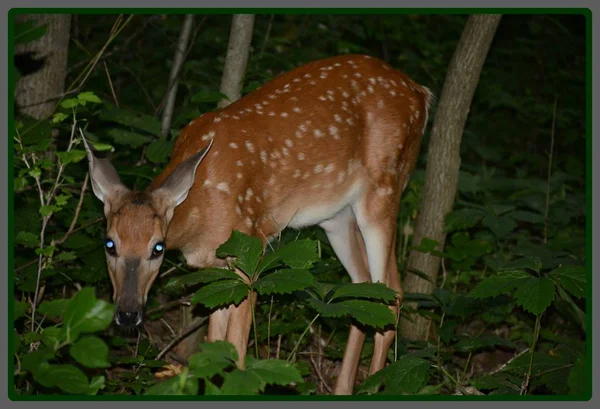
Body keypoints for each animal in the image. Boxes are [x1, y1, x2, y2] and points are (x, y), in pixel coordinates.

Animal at [85, 53, 432, 392]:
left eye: (157, 248)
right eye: (109, 244)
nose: (127, 314)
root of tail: (421, 92)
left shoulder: (249, 247)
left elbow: (237, 353)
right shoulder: (217, 267)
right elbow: (216, 346)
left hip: (383, 190)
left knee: (393, 292)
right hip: (336, 216)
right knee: (364, 286)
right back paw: (343, 389)